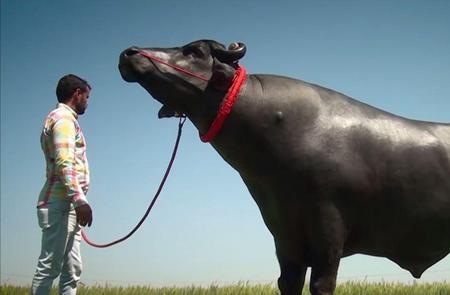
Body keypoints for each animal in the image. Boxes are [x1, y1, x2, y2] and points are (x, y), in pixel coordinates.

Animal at [119, 40, 450, 295]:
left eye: (195, 51)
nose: (129, 53)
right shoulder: (284, 234)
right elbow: (288, 282)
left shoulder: (328, 228)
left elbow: (321, 284)